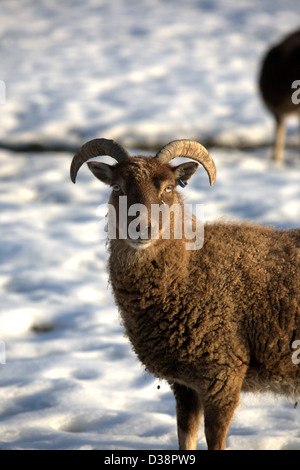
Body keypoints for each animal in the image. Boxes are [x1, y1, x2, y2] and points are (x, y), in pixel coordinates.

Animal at [69, 138, 300, 450]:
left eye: (168, 188)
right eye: (117, 187)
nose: (142, 228)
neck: (191, 270)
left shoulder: (224, 375)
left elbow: (215, 440)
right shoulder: (184, 383)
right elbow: (185, 437)